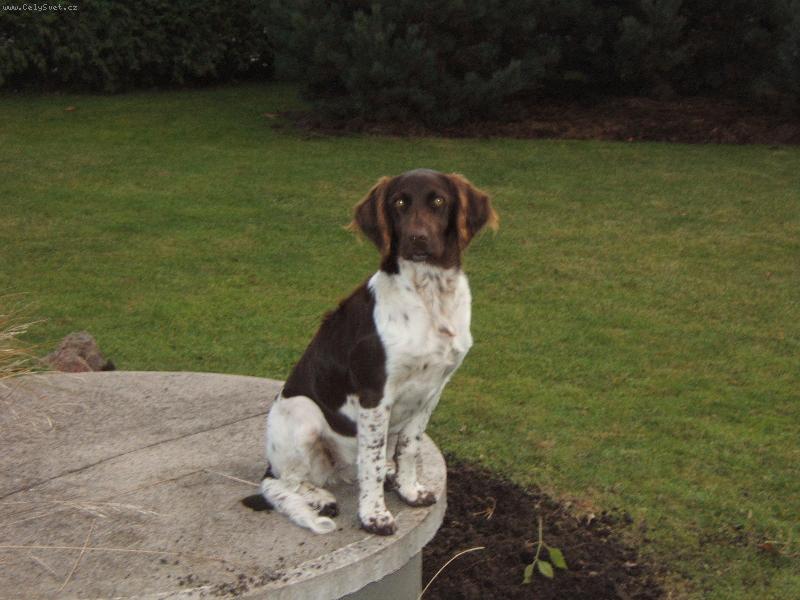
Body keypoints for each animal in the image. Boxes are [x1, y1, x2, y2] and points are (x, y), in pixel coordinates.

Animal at [242, 169, 497, 535]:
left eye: (438, 201)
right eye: (399, 203)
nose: (417, 239)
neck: (429, 295)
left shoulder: (433, 390)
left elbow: (409, 447)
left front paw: (409, 489)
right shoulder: (375, 392)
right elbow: (373, 460)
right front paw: (374, 516)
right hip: (303, 412)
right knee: (281, 481)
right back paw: (321, 498)